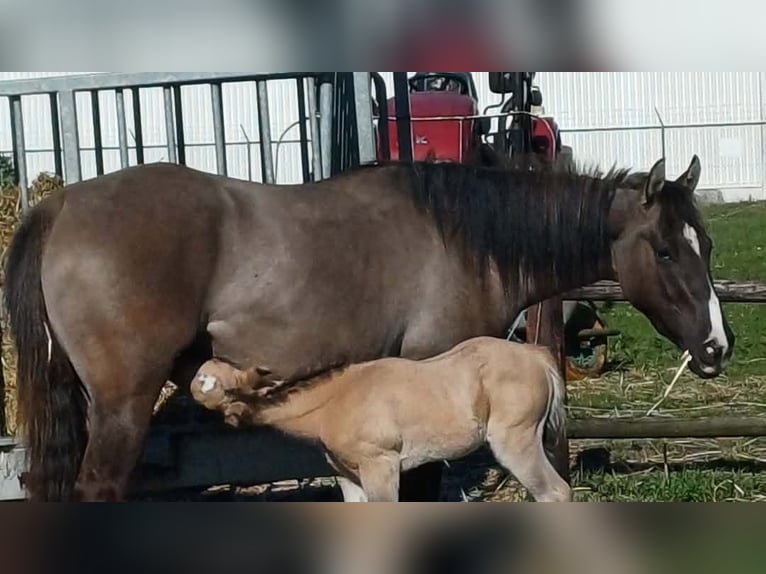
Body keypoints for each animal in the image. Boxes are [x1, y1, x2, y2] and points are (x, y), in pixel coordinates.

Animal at [189, 336, 570, 503]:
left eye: (222, 391)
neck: (337, 400)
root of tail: (536, 355)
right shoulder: (348, 475)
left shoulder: (381, 465)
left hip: (515, 441)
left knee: (556, 493)